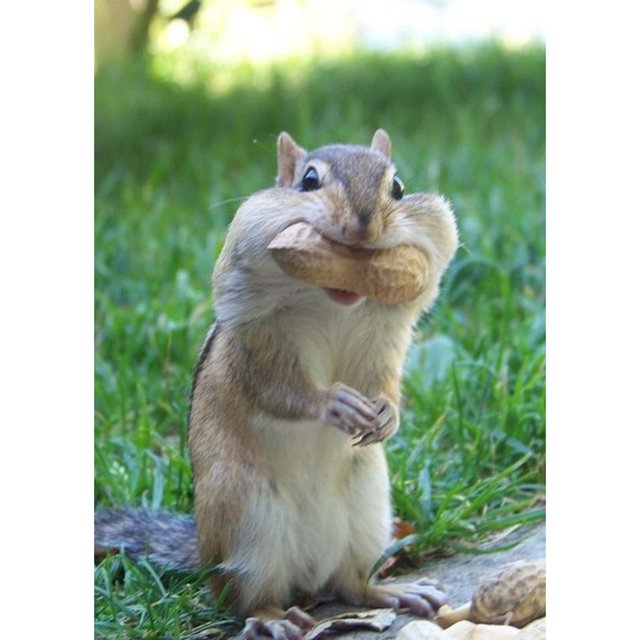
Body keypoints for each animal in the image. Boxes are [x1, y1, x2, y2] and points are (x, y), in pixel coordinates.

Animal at [95, 129, 459, 639]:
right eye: (309, 181)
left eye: (399, 187)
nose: (362, 228)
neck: (332, 302)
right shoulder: (257, 347)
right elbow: (276, 390)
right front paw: (333, 402)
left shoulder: (387, 341)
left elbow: (386, 383)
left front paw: (387, 415)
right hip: (249, 521)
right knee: (247, 598)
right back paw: (272, 620)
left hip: (368, 512)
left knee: (352, 585)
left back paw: (392, 592)